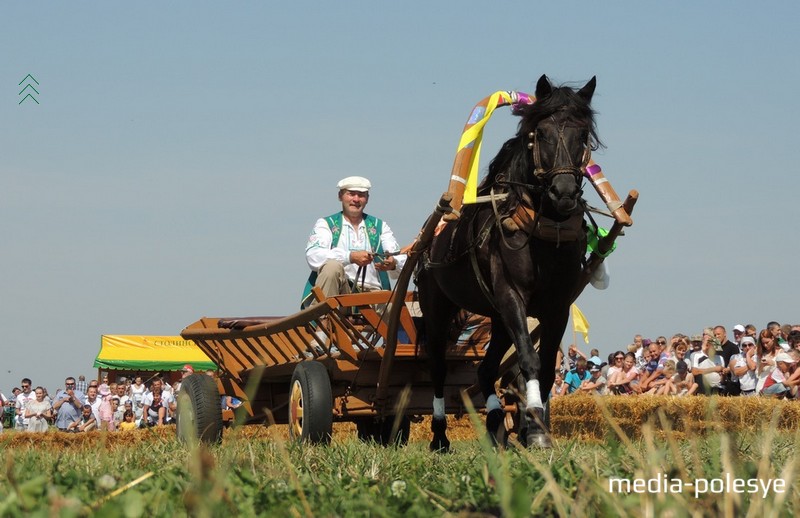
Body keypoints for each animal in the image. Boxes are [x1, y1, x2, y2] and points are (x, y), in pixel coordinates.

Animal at [418, 74, 600, 450]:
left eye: (583, 135)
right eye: (540, 133)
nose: (563, 192)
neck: (543, 232)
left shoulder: (557, 306)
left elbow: (544, 366)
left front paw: (536, 427)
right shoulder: (512, 295)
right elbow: (529, 358)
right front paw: (533, 424)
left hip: (497, 318)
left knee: (486, 369)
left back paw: (494, 423)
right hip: (437, 305)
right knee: (438, 368)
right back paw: (440, 435)